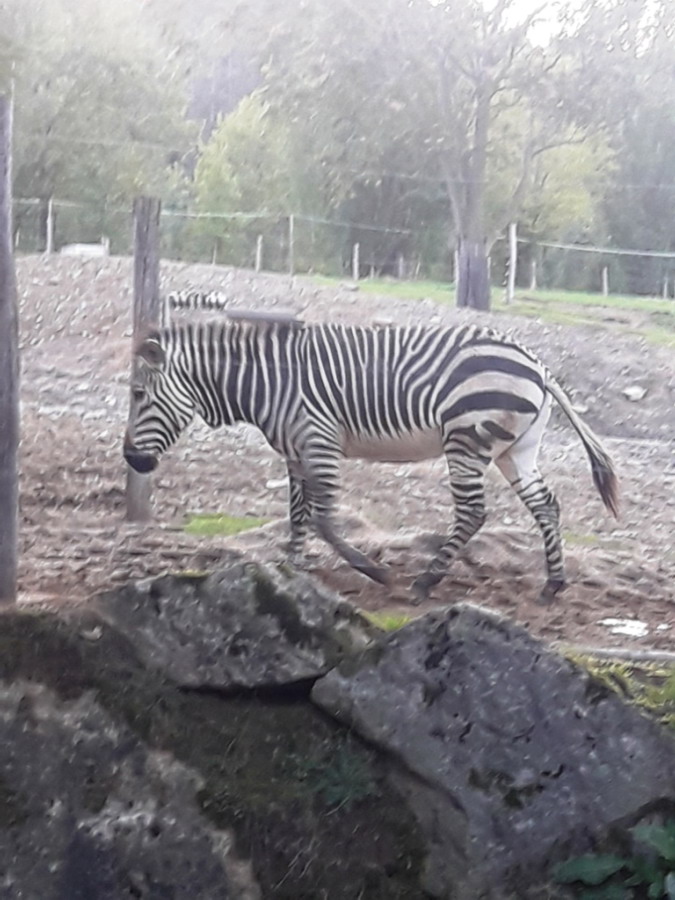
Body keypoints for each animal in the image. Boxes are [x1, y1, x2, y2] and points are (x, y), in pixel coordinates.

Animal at [123, 317, 619, 603]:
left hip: (466, 437)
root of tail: (537, 364)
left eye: (138, 395)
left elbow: (323, 519)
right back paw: (553, 584)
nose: (131, 459)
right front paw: (290, 570)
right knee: (546, 506)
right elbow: (297, 515)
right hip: (516, 448)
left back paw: (426, 582)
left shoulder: (319, 441)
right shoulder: (295, 452)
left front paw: (374, 571)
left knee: (473, 512)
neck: (270, 382)